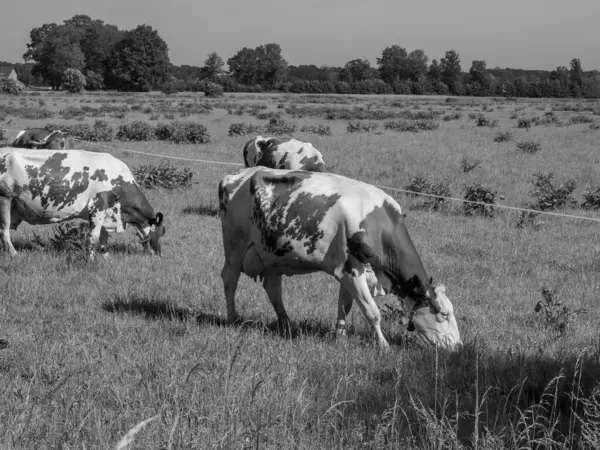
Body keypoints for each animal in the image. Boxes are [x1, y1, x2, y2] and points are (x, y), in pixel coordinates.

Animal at [0, 149, 165, 258]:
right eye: (162, 232)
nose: (159, 254)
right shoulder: (98, 206)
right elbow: (94, 237)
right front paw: (91, 259)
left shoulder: (106, 212)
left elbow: (104, 237)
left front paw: (105, 256)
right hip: (5, 199)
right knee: (4, 230)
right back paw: (14, 253)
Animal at [220, 168, 464, 352]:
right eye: (443, 314)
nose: (458, 346)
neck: (377, 224)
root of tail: (236, 175)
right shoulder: (351, 270)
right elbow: (372, 312)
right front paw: (384, 346)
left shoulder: (351, 271)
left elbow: (344, 306)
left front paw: (340, 337)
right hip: (234, 246)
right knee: (229, 279)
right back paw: (232, 318)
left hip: (272, 256)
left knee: (273, 288)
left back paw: (287, 324)